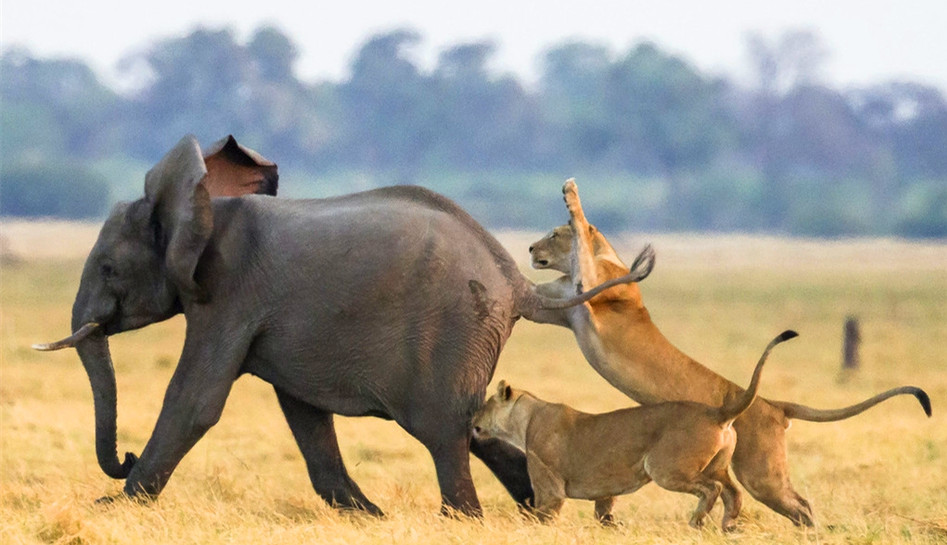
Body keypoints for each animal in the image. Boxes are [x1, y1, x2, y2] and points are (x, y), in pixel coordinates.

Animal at [474, 330, 800, 528]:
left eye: (485, 404)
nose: (472, 419)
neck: (526, 417)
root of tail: (717, 411)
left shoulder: (549, 488)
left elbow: (542, 515)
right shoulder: (604, 492)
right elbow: (604, 512)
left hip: (665, 468)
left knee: (712, 489)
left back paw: (697, 521)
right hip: (716, 465)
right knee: (733, 492)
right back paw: (728, 527)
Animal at [524, 180, 932, 528]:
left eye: (554, 235)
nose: (530, 248)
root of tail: (773, 405)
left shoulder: (594, 286)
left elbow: (582, 230)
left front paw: (571, 195)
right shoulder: (554, 307)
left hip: (760, 472)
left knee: (797, 504)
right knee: (761, 499)